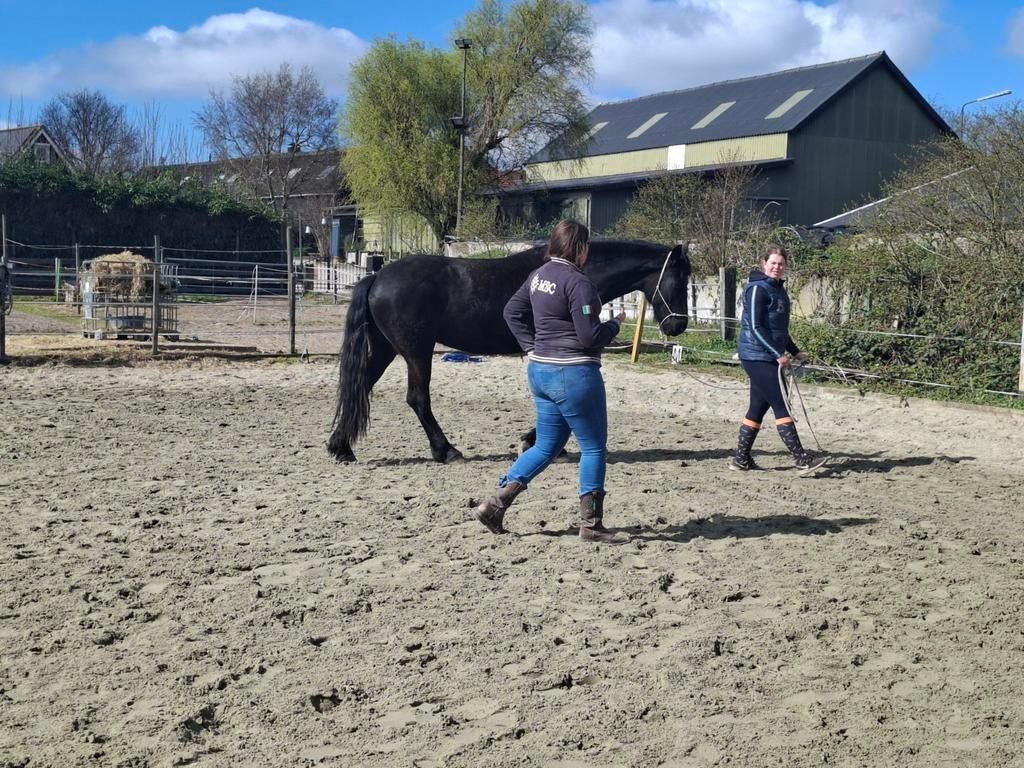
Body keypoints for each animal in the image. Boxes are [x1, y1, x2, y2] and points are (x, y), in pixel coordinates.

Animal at [327, 239, 692, 463]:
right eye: (680, 279)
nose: (678, 325)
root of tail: (376, 278)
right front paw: (533, 441)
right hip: (417, 352)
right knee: (418, 399)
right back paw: (446, 450)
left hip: (387, 349)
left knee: (360, 386)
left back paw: (340, 447)